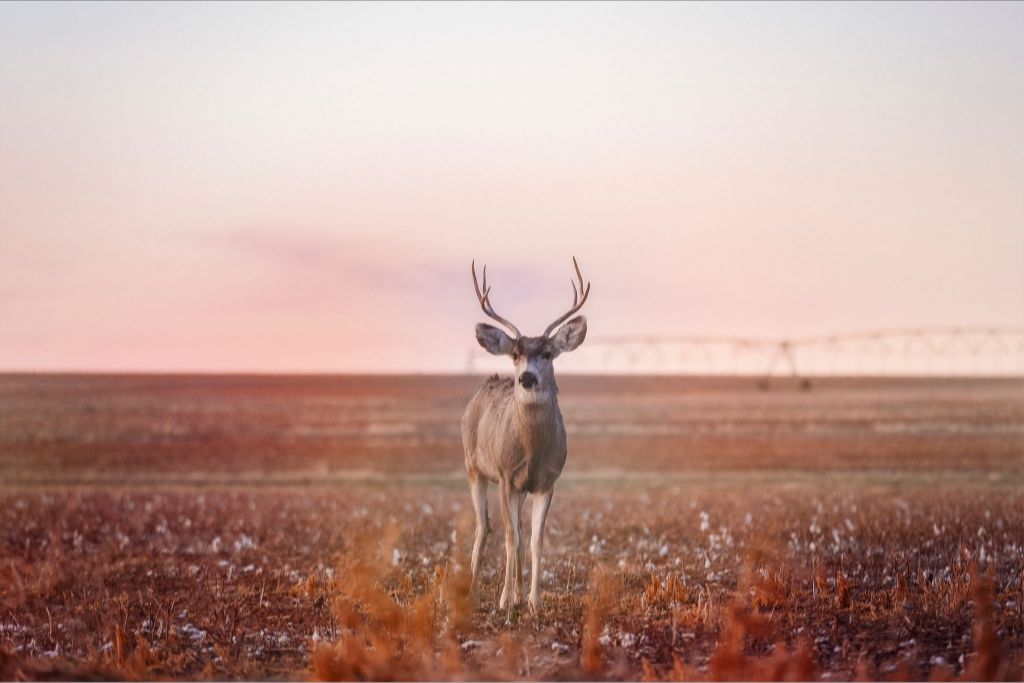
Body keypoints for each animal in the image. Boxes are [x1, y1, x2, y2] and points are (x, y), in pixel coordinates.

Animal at [461, 257, 590, 612]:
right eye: (515, 354)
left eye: (546, 353)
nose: (527, 378)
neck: (532, 452)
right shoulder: (506, 476)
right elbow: (510, 537)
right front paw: (505, 599)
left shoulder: (547, 480)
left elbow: (533, 540)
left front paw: (534, 600)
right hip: (474, 467)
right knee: (484, 527)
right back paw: (474, 590)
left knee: (515, 532)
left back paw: (518, 593)